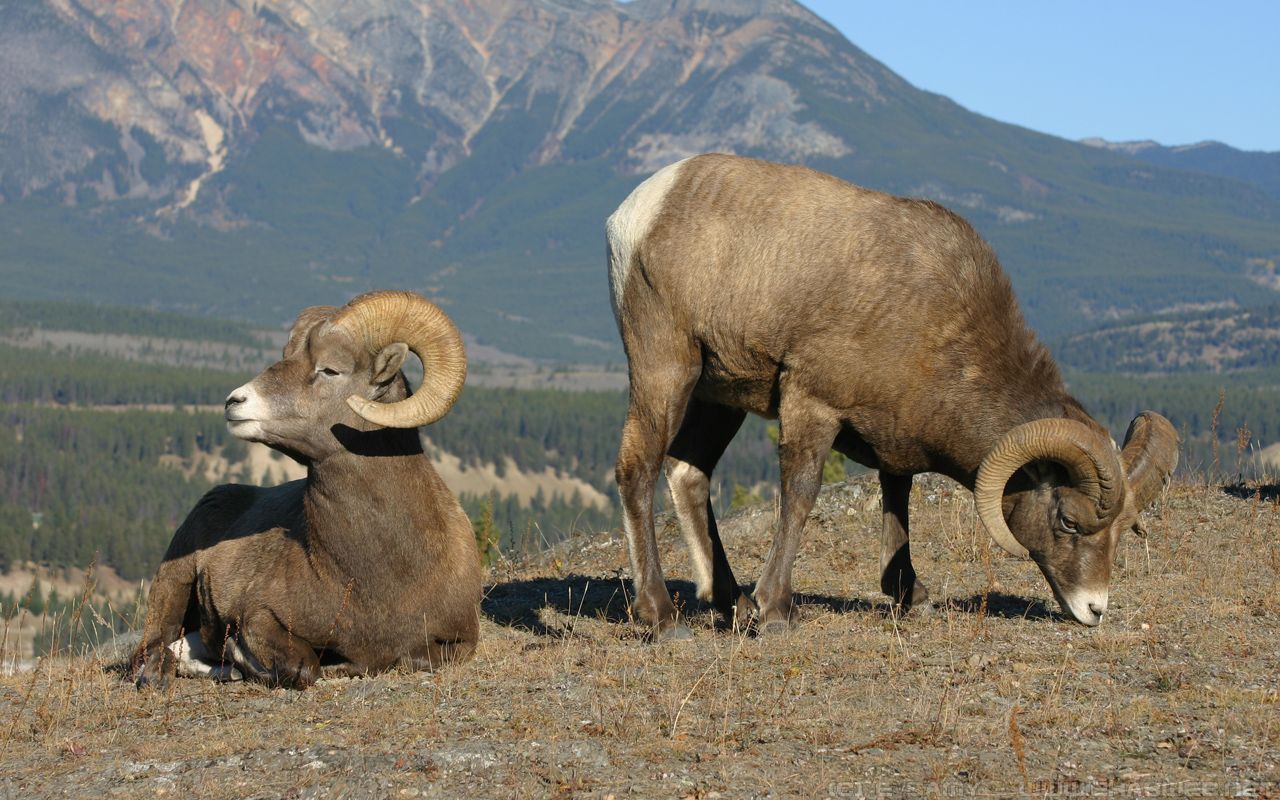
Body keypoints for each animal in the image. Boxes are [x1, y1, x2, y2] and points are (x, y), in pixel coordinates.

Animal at [130, 290, 481, 688]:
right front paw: (242, 658)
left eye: (329, 369)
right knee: (154, 649)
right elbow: (303, 667)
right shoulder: (259, 615)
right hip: (174, 582)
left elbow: (414, 657)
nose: (235, 402)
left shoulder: (461, 640)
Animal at [606, 153, 1179, 637]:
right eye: (1068, 521)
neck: (940, 327)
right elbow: (801, 497)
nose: (1094, 609)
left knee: (688, 474)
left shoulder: (892, 438)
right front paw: (776, 613)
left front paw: (910, 596)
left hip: (718, 397)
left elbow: (897, 501)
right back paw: (663, 617)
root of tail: (635, 213)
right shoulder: (811, 404)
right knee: (638, 469)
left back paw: (731, 604)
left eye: (1123, 530)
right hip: (667, 368)